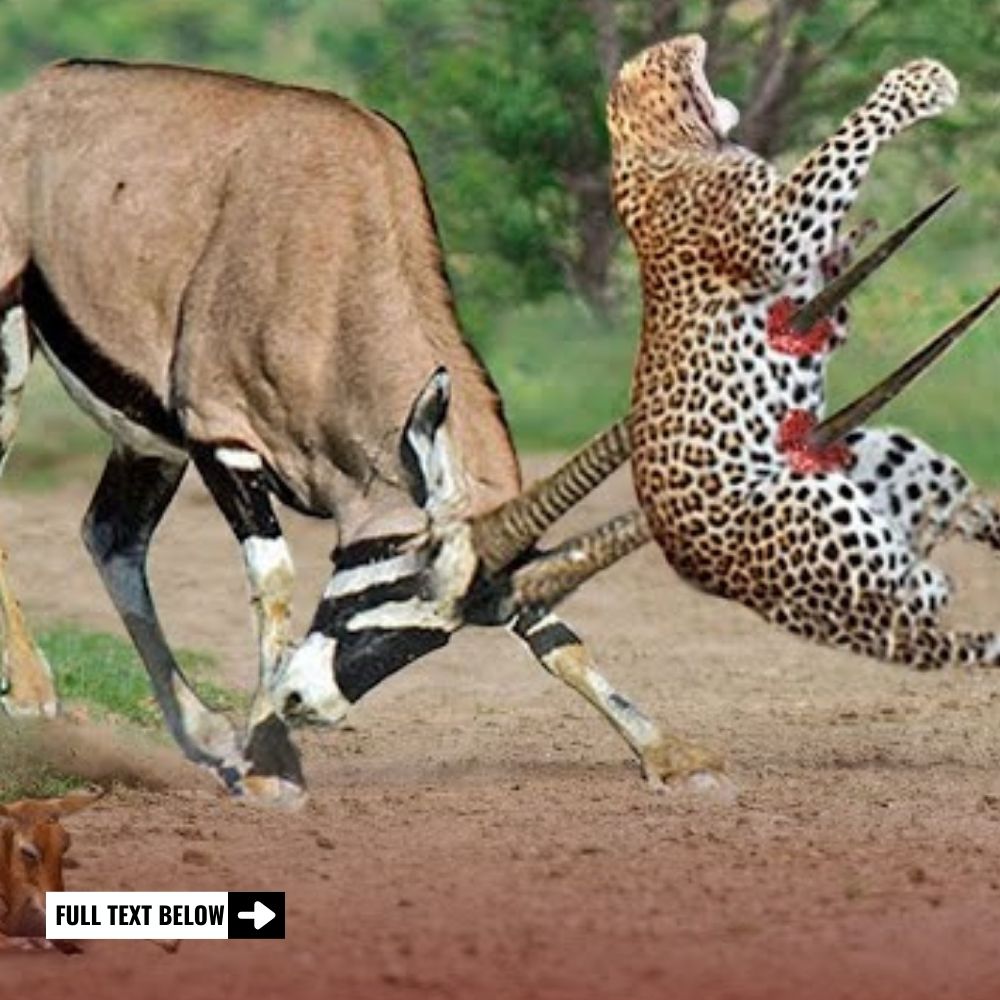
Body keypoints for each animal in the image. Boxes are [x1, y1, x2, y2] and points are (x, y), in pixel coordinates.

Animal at [0, 60, 700, 804]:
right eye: (396, 582)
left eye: (448, 629)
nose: (309, 703)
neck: (336, 263)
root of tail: (32, 92)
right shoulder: (221, 438)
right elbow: (275, 578)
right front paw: (269, 764)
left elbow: (546, 627)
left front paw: (669, 753)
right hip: (16, 343)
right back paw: (35, 691)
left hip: (147, 440)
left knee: (113, 536)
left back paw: (204, 731)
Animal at [604, 33, 996, 672]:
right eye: (666, 53)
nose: (694, 37)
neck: (657, 141)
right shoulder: (775, 231)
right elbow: (844, 140)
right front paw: (918, 84)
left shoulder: (804, 285)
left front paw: (854, 243)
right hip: (812, 509)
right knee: (910, 598)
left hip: (883, 452)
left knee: (942, 535)